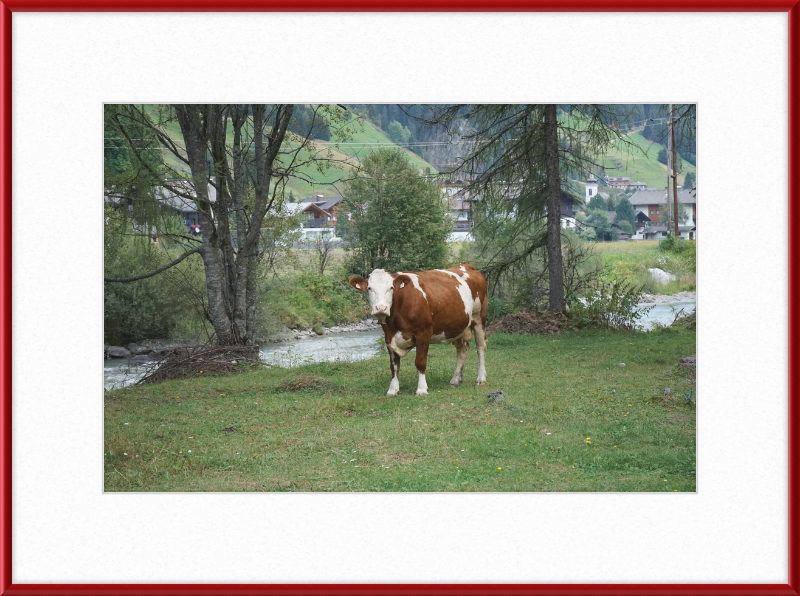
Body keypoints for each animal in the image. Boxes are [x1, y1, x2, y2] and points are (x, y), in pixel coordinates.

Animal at [348, 262, 488, 396]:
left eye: (391, 288)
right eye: (370, 288)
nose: (381, 308)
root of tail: (466, 265)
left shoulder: (423, 333)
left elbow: (420, 362)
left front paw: (421, 389)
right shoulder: (388, 336)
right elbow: (394, 366)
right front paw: (392, 390)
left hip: (479, 318)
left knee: (481, 347)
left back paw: (481, 378)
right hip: (458, 326)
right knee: (462, 350)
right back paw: (455, 379)